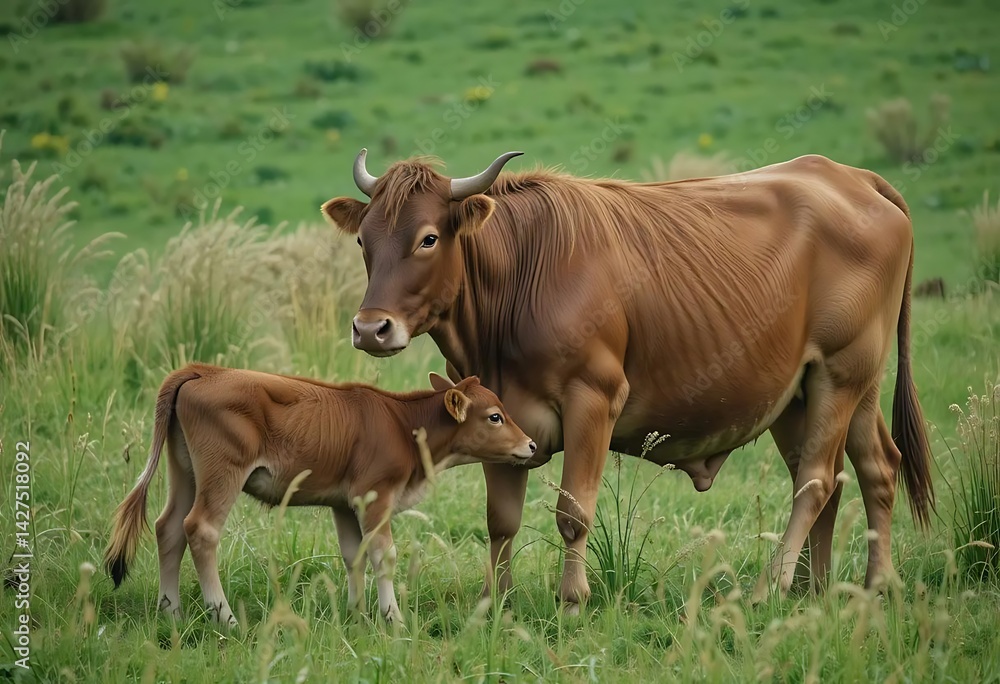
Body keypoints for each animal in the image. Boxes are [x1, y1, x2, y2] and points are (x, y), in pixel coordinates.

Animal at [104, 363, 536, 627]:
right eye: (495, 416)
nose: (531, 445)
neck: (401, 424)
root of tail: (203, 370)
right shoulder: (375, 496)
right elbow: (383, 554)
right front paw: (393, 617)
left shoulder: (345, 503)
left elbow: (354, 555)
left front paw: (358, 615)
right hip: (222, 472)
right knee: (200, 529)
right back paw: (225, 616)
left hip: (185, 472)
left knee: (169, 528)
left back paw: (172, 613)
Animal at [321, 150, 935, 612]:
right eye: (363, 241)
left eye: (428, 238)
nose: (371, 328)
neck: (521, 280)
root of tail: (847, 175)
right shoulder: (494, 415)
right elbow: (500, 520)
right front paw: (496, 605)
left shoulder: (594, 398)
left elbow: (573, 513)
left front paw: (572, 601)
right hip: (810, 390)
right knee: (872, 468)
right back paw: (843, 589)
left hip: (842, 369)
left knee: (816, 480)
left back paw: (774, 587)